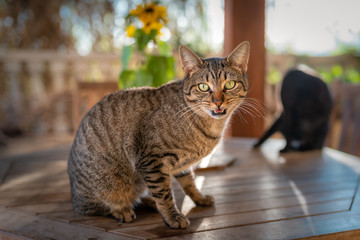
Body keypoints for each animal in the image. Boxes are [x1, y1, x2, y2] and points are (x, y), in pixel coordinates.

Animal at [66, 41, 249, 229]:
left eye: (230, 84)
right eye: (203, 87)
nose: (218, 102)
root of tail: (74, 196)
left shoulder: (181, 165)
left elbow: (190, 183)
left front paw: (200, 198)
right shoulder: (151, 161)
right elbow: (164, 194)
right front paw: (172, 217)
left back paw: (147, 201)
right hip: (108, 185)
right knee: (96, 207)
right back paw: (121, 210)